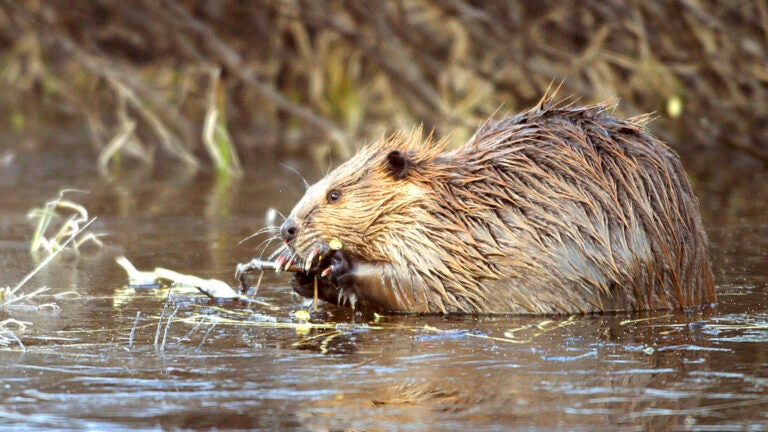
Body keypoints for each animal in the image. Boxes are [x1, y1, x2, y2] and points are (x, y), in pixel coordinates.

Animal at [272, 98, 716, 314]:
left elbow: (421, 283)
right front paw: (301, 272)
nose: (287, 229)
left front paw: (332, 263)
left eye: (334, 194)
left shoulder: (462, 249)